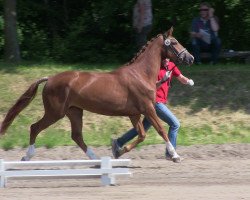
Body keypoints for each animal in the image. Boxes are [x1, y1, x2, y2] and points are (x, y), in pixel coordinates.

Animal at [0, 27, 193, 162]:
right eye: (174, 42)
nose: (190, 58)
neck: (141, 75)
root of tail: (50, 78)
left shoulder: (135, 114)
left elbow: (142, 135)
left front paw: (119, 151)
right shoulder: (148, 109)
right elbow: (161, 130)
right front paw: (175, 156)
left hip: (74, 111)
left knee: (76, 136)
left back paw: (95, 159)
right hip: (55, 112)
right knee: (35, 127)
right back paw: (27, 156)